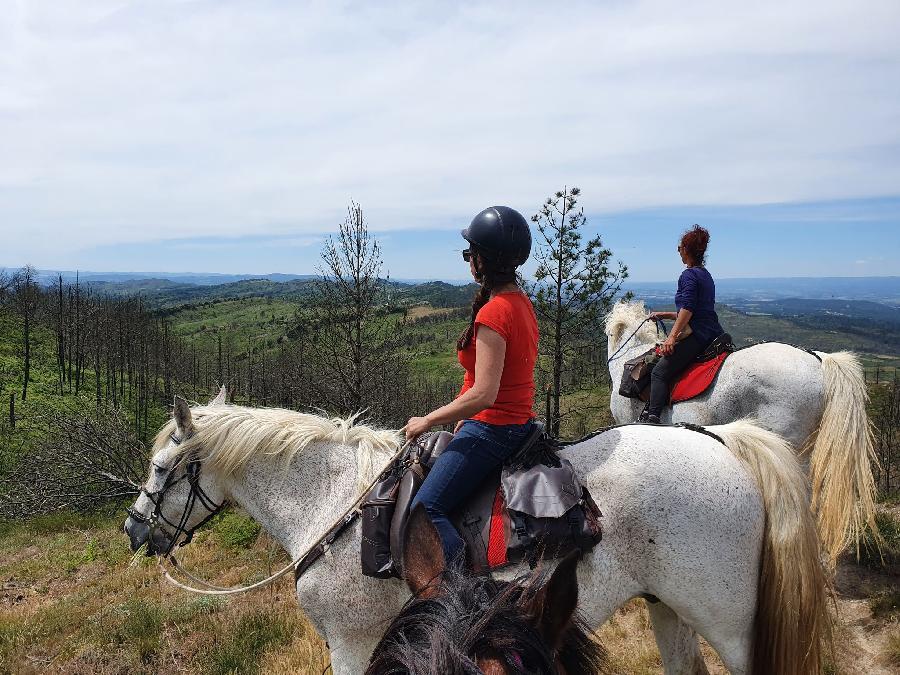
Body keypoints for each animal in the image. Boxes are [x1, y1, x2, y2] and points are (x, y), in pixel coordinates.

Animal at [126, 398, 828, 672]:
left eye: (161, 469)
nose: (134, 529)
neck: (332, 501)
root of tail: (723, 442)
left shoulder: (350, 644)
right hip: (668, 607)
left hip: (726, 619)